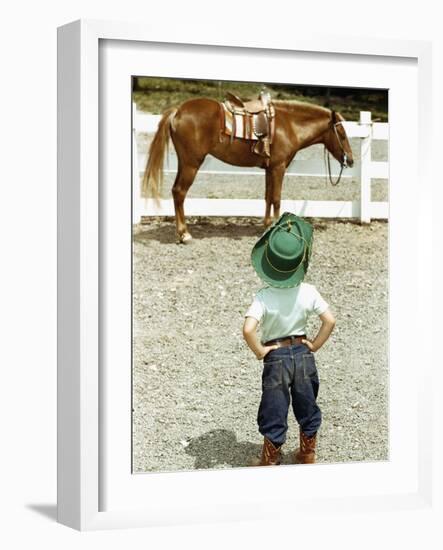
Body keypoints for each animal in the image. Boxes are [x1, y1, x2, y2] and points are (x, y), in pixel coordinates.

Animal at [144, 98, 356, 244]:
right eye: (342, 134)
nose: (351, 160)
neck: (288, 125)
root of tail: (178, 111)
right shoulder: (278, 168)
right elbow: (277, 198)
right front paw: (277, 228)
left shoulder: (270, 169)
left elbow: (268, 197)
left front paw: (267, 226)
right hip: (191, 164)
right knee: (180, 192)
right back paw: (184, 234)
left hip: (184, 163)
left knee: (175, 191)